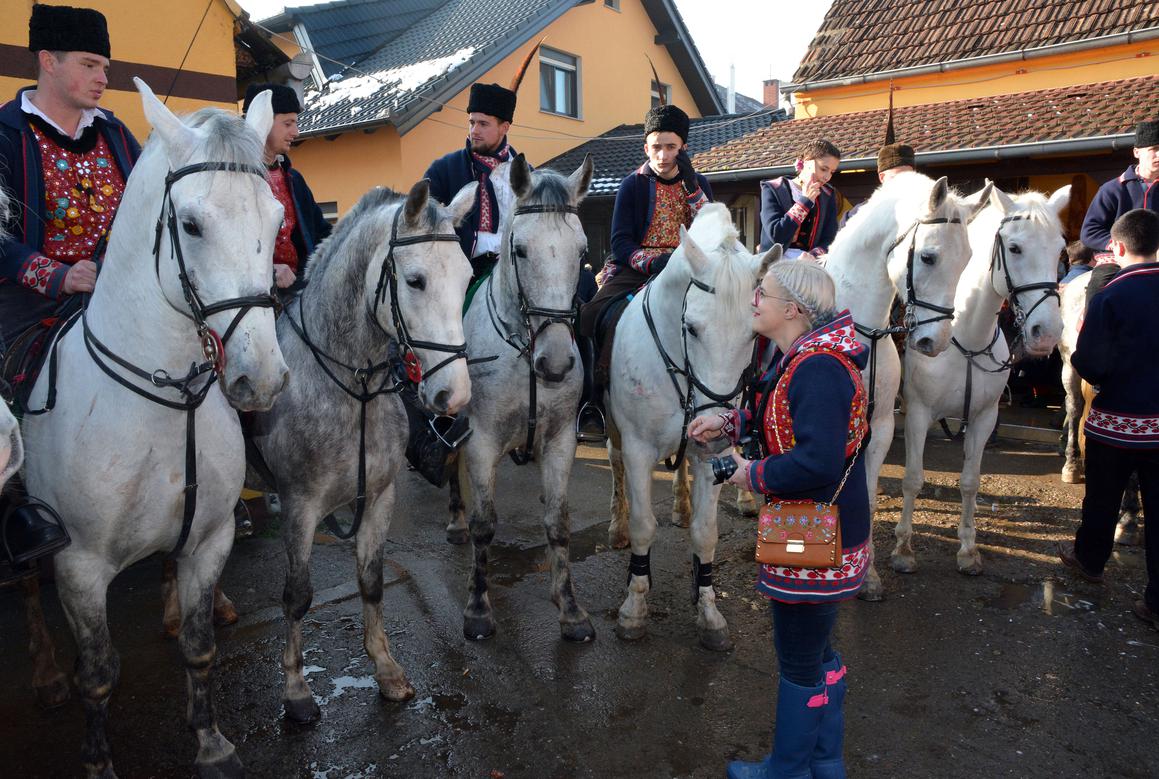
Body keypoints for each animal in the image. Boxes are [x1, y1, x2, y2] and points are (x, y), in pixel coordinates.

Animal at [21, 80, 287, 779]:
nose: (261, 379)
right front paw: (97, 761)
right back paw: (45, 674)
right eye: (190, 224)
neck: (163, 406)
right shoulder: (79, 567)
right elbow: (99, 675)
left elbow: (197, 646)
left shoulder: (208, 542)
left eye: (275, 220)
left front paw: (211, 742)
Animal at [445, 155, 598, 639]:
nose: (556, 364)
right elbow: (484, 525)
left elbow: (558, 522)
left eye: (582, 252)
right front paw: (478, 608)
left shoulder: (560, 441)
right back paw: (454, 519)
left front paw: (570, 608)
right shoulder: (480, 440)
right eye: (521, 251)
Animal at [607, 202, 769, 649]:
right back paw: (616, 526)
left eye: (754, 334)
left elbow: (706, 533)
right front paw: (634, 607)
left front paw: (709, 611)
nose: (713, 431)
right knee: (615, 468)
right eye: (691, 328)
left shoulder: (710, 458)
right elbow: (644, 526)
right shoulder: (638, 448)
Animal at [820, 175, 982, 602]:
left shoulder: (878, 429)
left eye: (967, 259)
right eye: (927, 257)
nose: (933, 342)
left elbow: (867, 499)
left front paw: (868, 577)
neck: (858, 334)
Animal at [890, 185, 1061, 574]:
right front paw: (903, 548)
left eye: (1060, 248)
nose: (1047, 333)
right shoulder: (919, 412)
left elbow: (970, 482)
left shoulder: (984, 418)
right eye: (1014, 248)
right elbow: (912, 479)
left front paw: (968, 549)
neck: (964, 338)